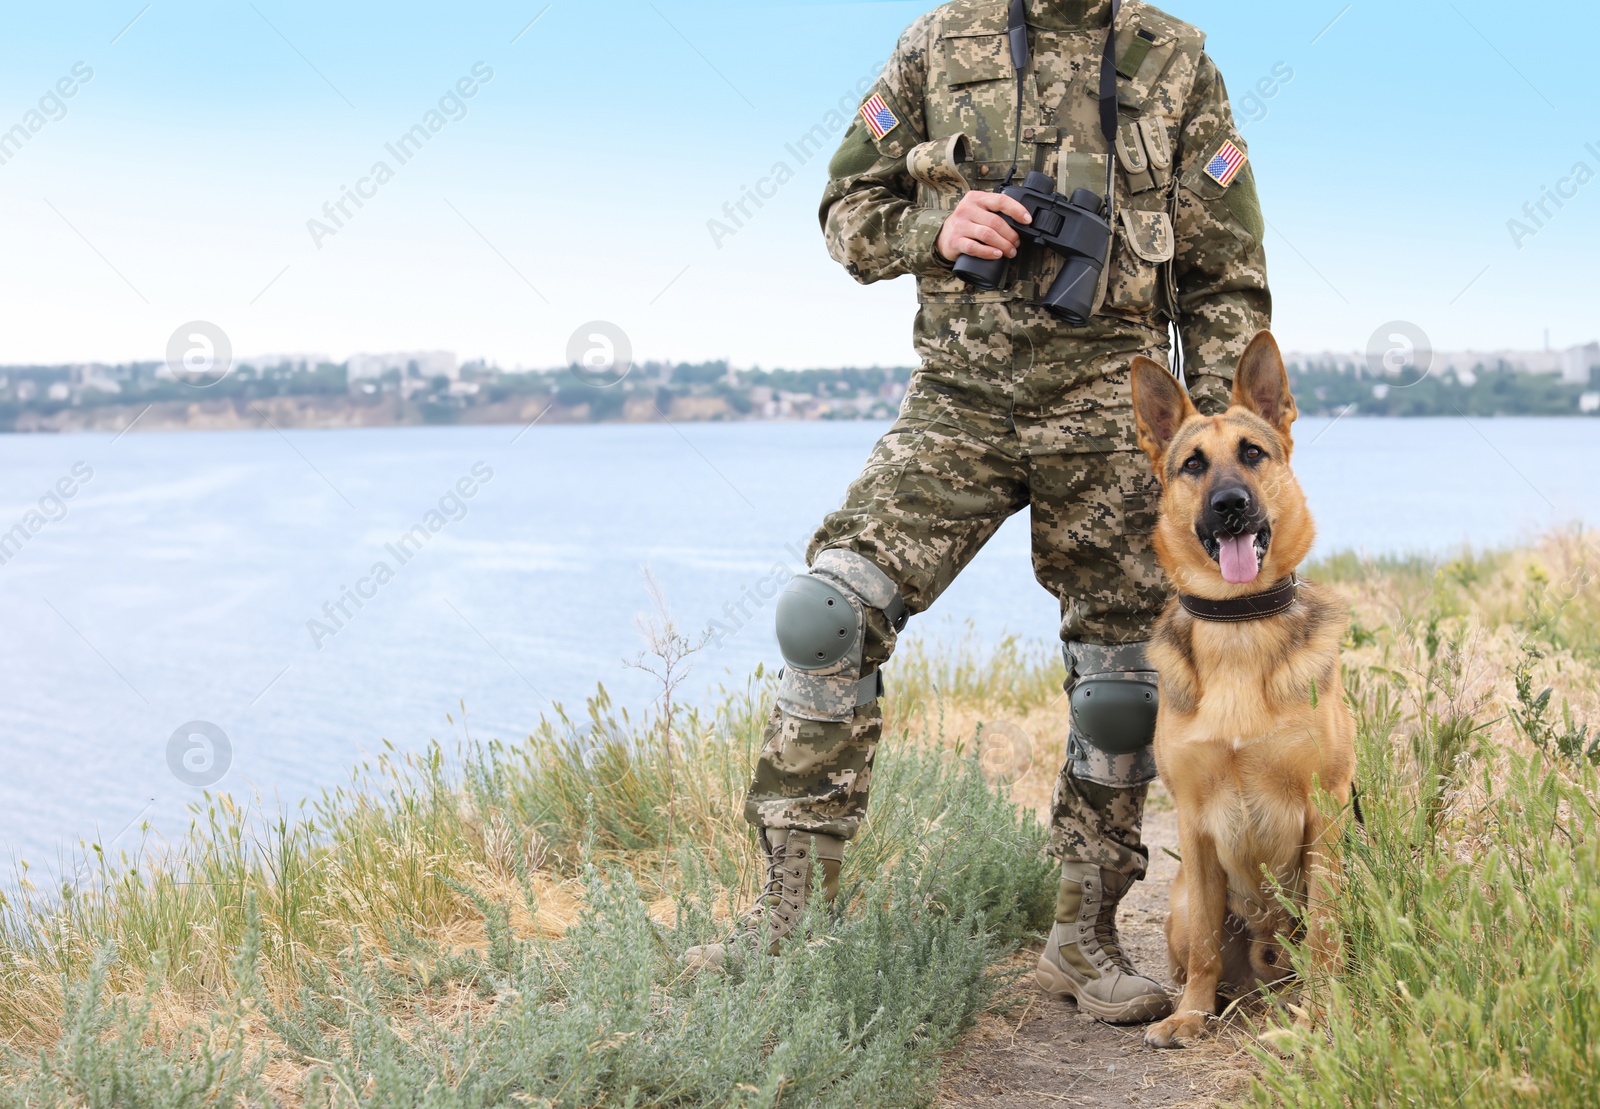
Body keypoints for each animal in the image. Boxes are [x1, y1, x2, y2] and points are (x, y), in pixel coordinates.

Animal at [1126, 331, 1350, 1049]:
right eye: (1193, 464)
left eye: (1253, 453)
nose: (1230, 505)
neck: (1238, 625)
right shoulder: (1195, 825)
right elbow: (1202, 940)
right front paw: (1191, 1015)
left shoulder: (1324, 814)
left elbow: (1327, 932)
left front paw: (1318, 1021)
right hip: (1177, 896)